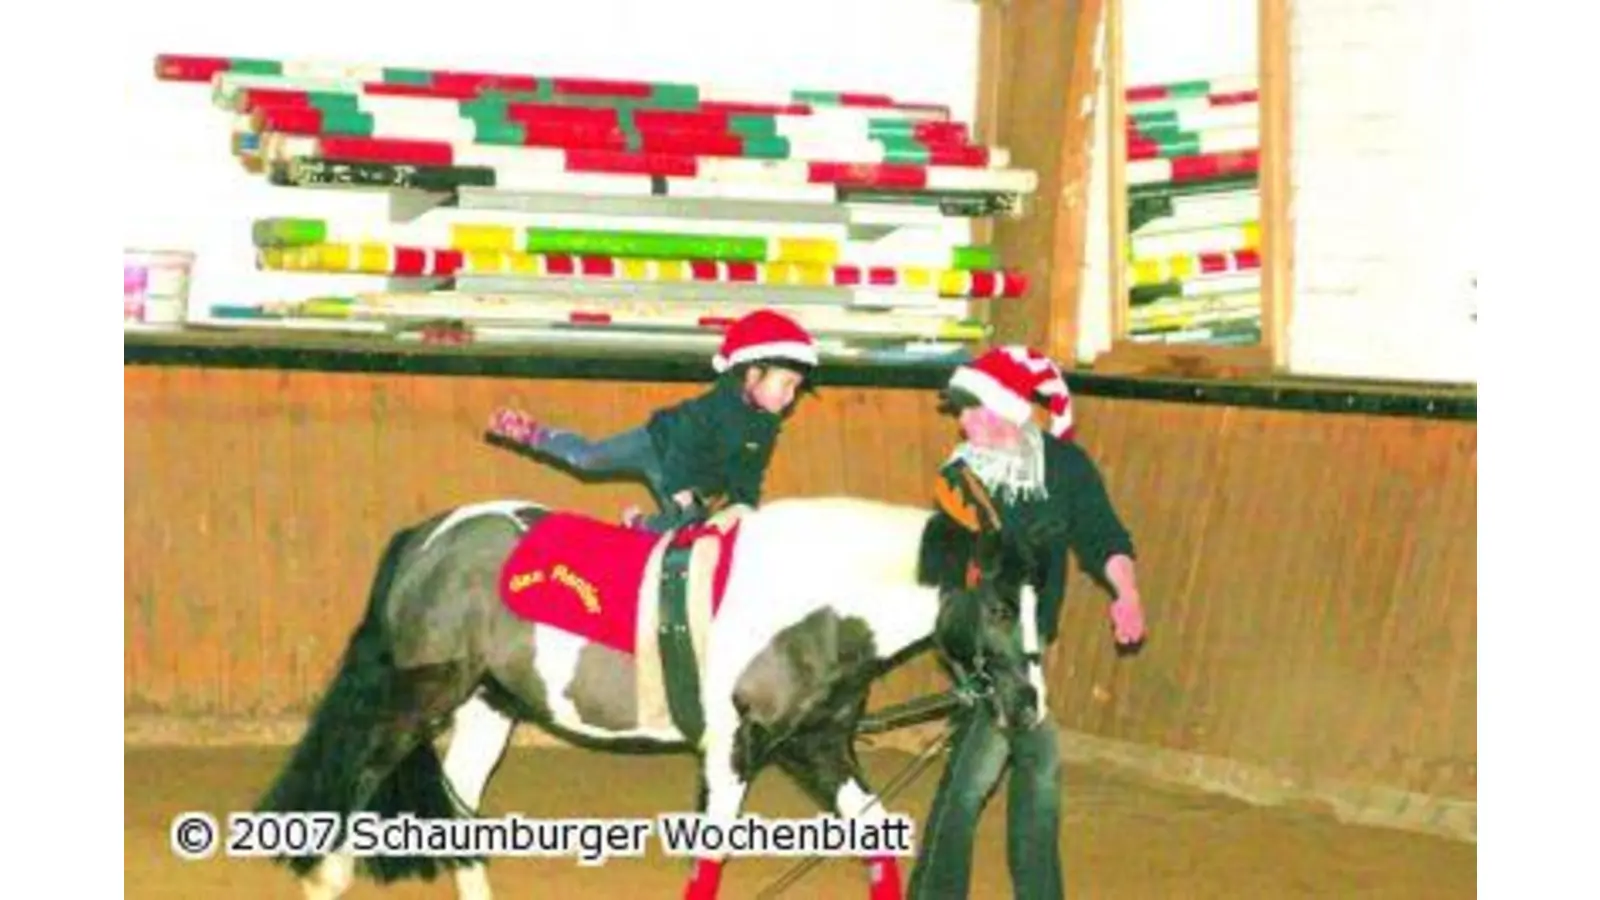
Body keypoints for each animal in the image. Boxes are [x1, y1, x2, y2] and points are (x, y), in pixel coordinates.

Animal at [256, 493, 1043, 890]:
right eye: (1002, 607)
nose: (1028, 705)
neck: (808, 603)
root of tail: (428, 538)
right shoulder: (732, 753)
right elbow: (710, 862)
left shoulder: (817, 747)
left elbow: (875, 841)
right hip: (422, 697)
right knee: (360, 777)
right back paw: (327, 876)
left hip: (490, 704)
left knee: (459, 801)